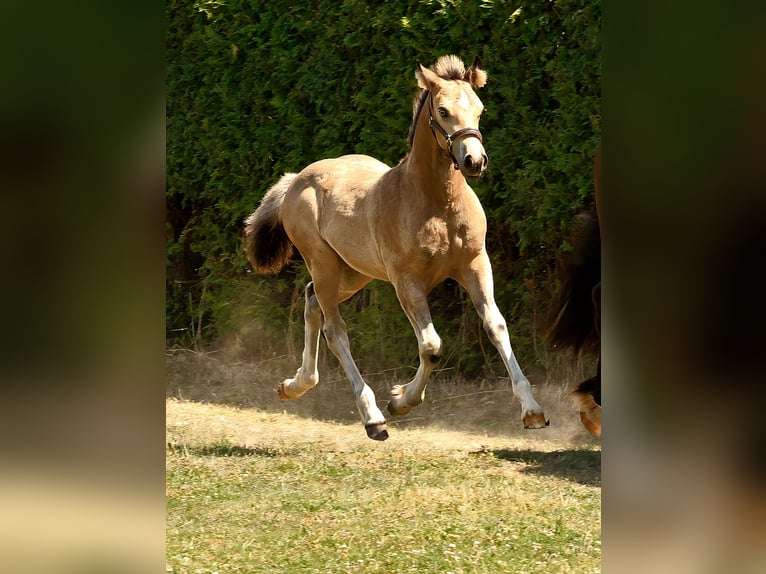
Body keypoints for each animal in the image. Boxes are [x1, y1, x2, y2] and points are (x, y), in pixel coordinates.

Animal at [244, 55, 548, 440]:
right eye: (443, 111)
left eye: (480, 110)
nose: (474, 161)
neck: (438, 204)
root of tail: (296, 179)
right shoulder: (406, 281)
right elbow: (431, 346)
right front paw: (400, 401)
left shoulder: (475, 265)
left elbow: (496, 326)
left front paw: (533, 411)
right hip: (324, 264)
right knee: (335, 331)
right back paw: (372, 417)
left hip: (353, 272)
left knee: (312, 302)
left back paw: (295, 384)